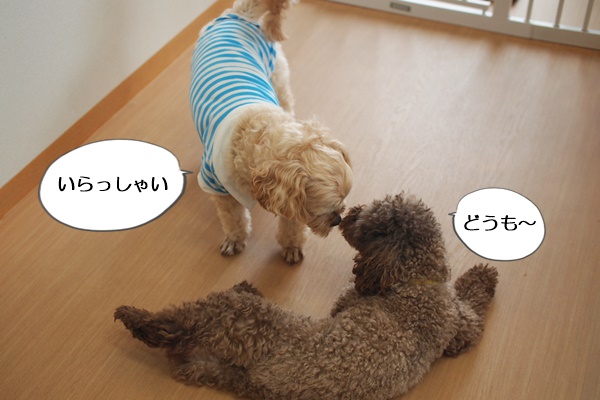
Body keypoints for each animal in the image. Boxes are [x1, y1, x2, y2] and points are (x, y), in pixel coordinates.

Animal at [115, 193, 499, 400]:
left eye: (366, 221)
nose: (347, 214)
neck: (416, 282)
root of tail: (253, 381)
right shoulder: (459, 326)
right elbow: (472, 310)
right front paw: (483, 275)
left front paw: (482, 274)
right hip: (219, 349)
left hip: (235, 316)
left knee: (176, 323)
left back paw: (135, 316)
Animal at [191, 0, 353, 264]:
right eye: (326, 210)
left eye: (341, 204)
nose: (338, 219)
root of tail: (240, 14)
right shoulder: (218, 187)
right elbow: (233, 219)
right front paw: (235, 238)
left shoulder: (290, 201)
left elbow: (291, 225)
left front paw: (292, 246)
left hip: (278, 76)